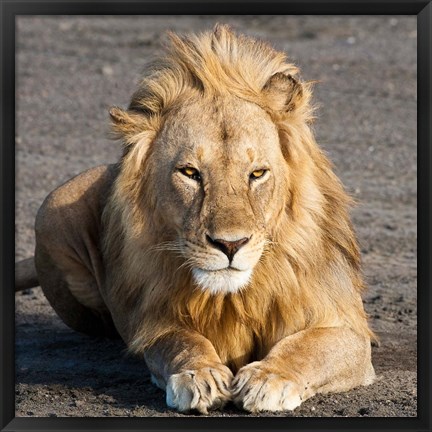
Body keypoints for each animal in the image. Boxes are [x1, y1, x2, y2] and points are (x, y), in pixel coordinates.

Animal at [16, 24, 374, 416]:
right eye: (190, 173)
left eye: (257, 173)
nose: (230, 245)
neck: (233, 298)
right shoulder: (154, 322)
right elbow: (181, 341)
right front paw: (199, 376)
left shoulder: (350, 332)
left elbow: (306, 349)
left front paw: (269, 378)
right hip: (53, 208)